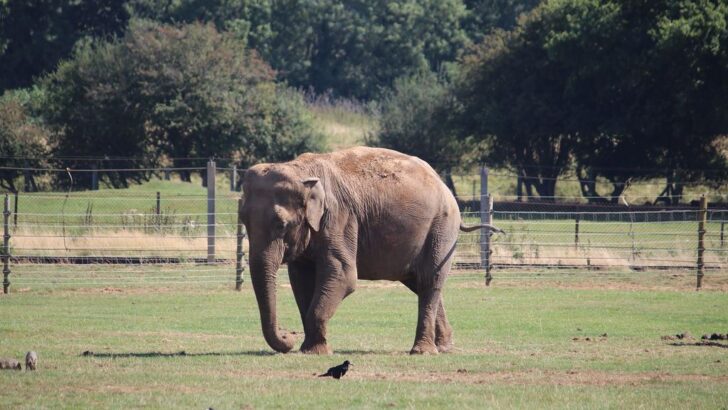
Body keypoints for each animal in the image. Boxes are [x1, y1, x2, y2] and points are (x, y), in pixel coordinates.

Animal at [240, 146, 501, 355]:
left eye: (281, 224)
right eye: (243, 221)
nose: (288, 335)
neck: (300, 170)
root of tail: (445, 187)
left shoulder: (340, 218)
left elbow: (343, 275)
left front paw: (316, 352)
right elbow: (301, 280)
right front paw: (309, 348)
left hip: (442, 227)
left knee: (430, 281)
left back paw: (422, 352)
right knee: (421, 283)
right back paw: (444, 348)